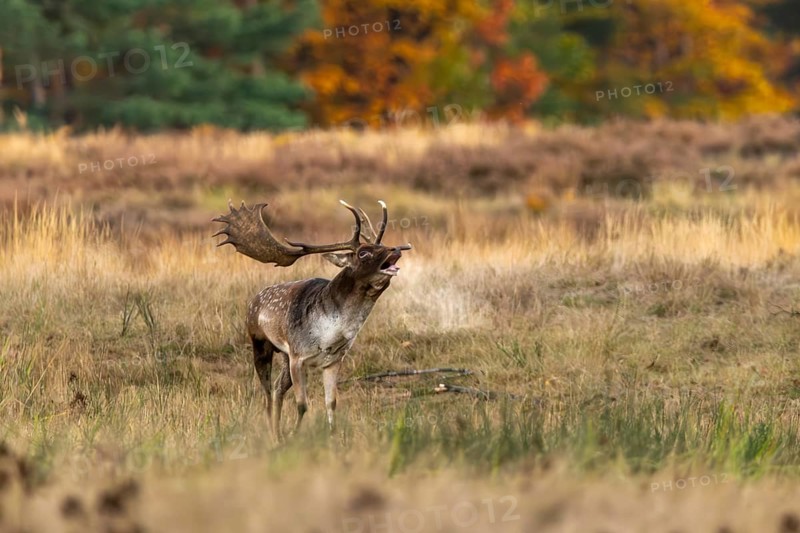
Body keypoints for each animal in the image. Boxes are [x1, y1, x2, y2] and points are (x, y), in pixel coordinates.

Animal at [213, 199, 411, 439]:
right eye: (363, 253)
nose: (396, 249)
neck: (330, 335)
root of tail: (254, 299)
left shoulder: (333, 360)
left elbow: (331, 403)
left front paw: (333, 436)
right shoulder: (299, 356)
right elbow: (302, 405)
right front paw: (295, 435)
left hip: (284, 356)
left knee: (277, 388)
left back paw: (278, 433)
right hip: (260, 343)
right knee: (267, 393)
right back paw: (274, 435)